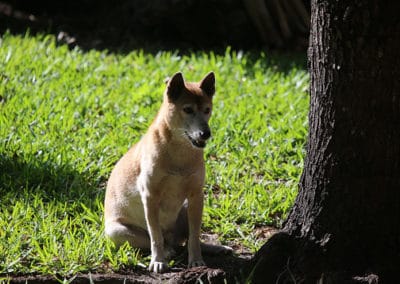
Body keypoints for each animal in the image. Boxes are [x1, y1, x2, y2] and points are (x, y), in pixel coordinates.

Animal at [103, 71, 230, 272]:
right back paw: (168, 251)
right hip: (116, 231)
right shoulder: (150, 197)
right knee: (160, 241)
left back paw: (214, 248)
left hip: (186, 208)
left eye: (207, 110)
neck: (179, 153)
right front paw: (158, 261)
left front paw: (196, 259)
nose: (206, 133)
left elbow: (195, 236)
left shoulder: (196, 195)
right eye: (188, 109)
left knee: (186, 240)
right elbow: (155, 237)